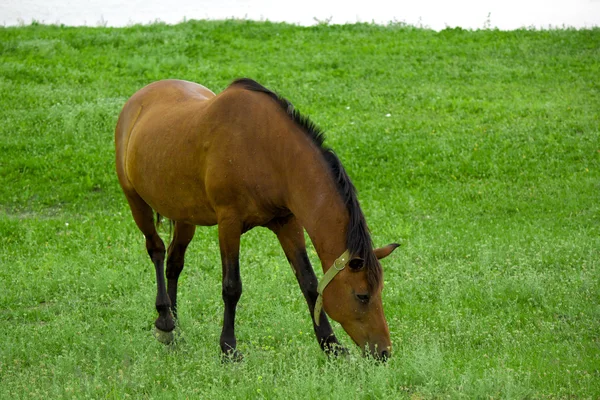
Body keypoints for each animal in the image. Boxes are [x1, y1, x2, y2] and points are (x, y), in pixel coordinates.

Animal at [115, 78, 400, 360]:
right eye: (362, 295)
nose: (384, 351)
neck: (267, 152)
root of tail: (138, 98)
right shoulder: (229, 223)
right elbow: (232, 287)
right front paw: (228, 348)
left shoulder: (287, 223)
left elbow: (308, 282)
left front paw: (331, 344)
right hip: (136, 202)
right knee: (157, 250)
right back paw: (164, 320)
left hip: (185, 215)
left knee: (174, 262)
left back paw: (174, 327)